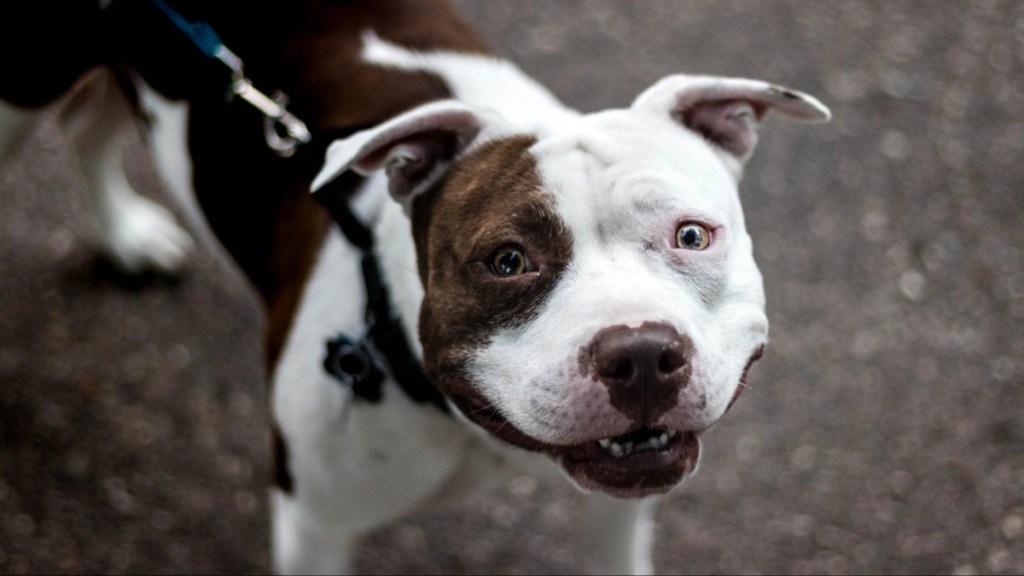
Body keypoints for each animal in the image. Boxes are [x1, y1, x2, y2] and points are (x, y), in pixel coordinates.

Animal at [0, 2, 827, 569]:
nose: (643, 354)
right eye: (507, 261)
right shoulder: (314, 525)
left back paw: (123, 235)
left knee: (89, 123)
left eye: (692, 236)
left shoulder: (623, 506)